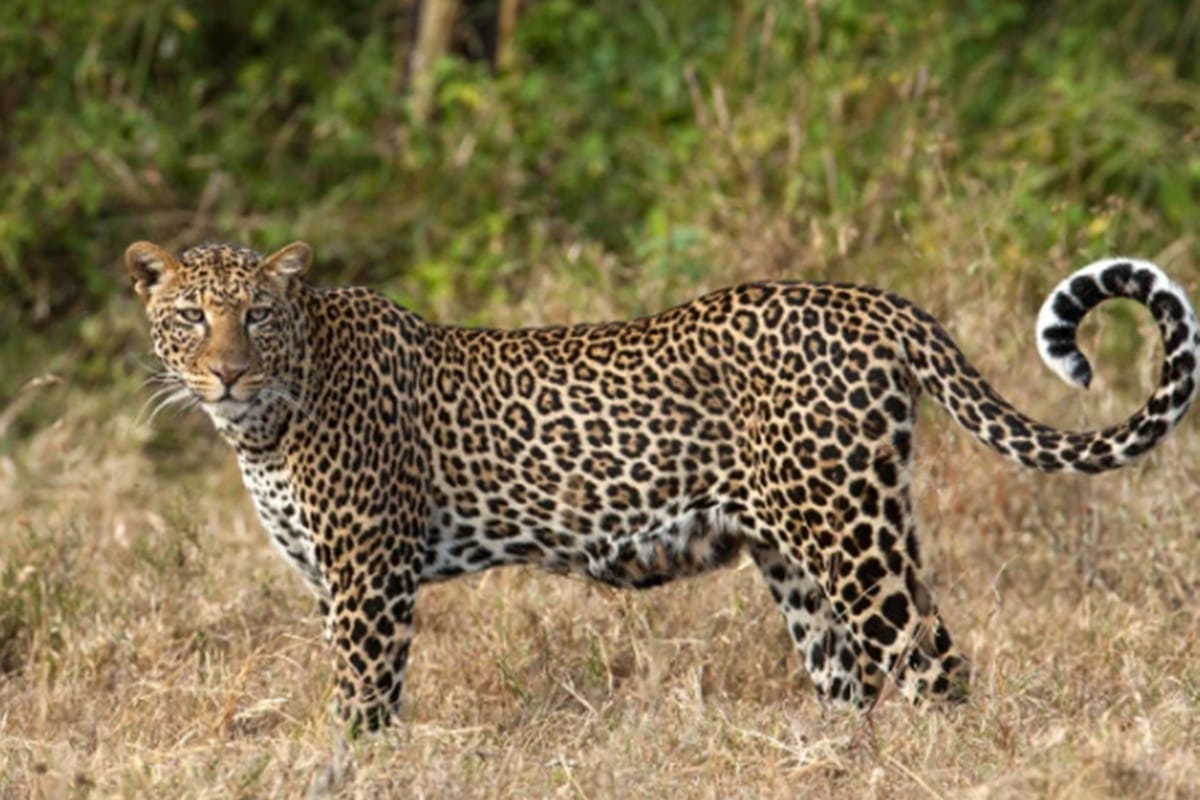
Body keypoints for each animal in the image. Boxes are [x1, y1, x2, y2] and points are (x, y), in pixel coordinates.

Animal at [125, 239, 1200, 732]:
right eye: (190, 317)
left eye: (258, 316)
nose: (227, 373)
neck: (263, 427)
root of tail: (872, 302)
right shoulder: (328, 582)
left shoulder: (368, 581)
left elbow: (363, 703)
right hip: (793, 552)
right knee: (849, 678)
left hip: (853, 529)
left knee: (934, 661)